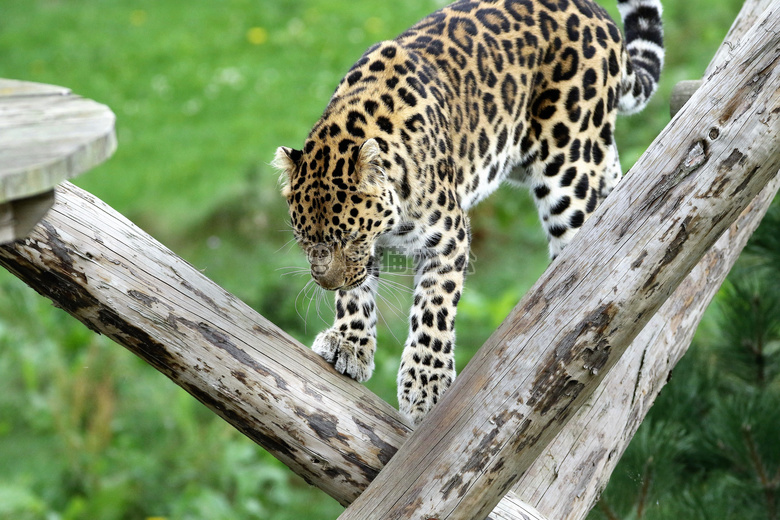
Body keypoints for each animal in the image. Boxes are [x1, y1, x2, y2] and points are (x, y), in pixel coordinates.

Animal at [274, 0, 664, 424]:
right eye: (304, 241)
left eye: (349, 238)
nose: (327, 284)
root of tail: (598, 14)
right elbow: (357, 293)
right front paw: (349, 343)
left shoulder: (447, 236)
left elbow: (433, 308)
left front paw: (424, 384)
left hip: (568, 167)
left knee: (585, 241)